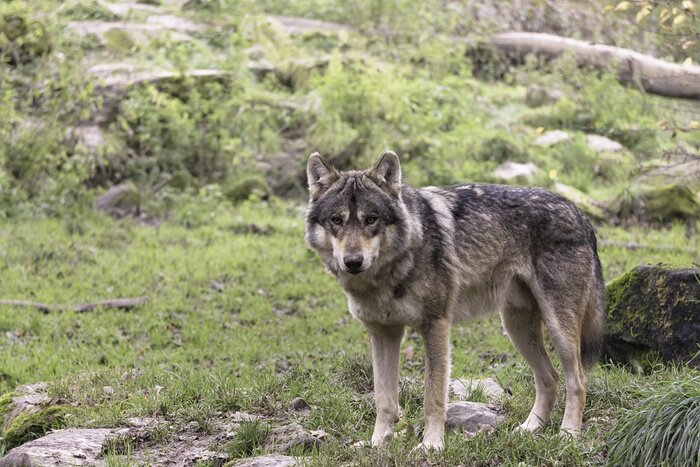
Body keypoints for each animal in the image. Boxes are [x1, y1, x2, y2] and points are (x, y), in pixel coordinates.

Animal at [305, 150, 605, 450]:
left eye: (370, 219)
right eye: (337, 220)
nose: (353, 262)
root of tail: (580, 213)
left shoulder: (436, 325)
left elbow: (433, 396)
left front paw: (431, 445)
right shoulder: (382, 332)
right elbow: (383, 398)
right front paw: (377, 444)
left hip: (557, 328)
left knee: (578, 380)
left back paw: (569, 434)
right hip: (516, 328)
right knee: (549, 378)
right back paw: (530, 428)